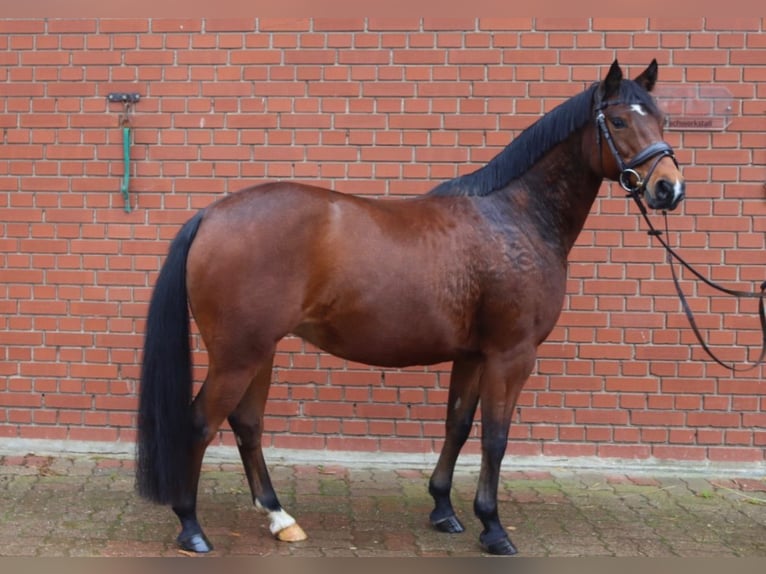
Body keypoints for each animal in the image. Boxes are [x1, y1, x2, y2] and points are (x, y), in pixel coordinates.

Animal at [136, 59, 685, 556]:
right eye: (618, 121)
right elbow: (496, 437)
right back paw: (192, 528)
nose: (669, 188)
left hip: (259, 351)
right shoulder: (511, 355)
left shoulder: (473, 355)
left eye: (661, 118)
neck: (515, 217)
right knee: (200, 423)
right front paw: (493, 528)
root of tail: (211, 215)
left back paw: (279, 518)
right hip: (238, 355)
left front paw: (444, 510)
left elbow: (458, 426)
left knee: (247, 423)